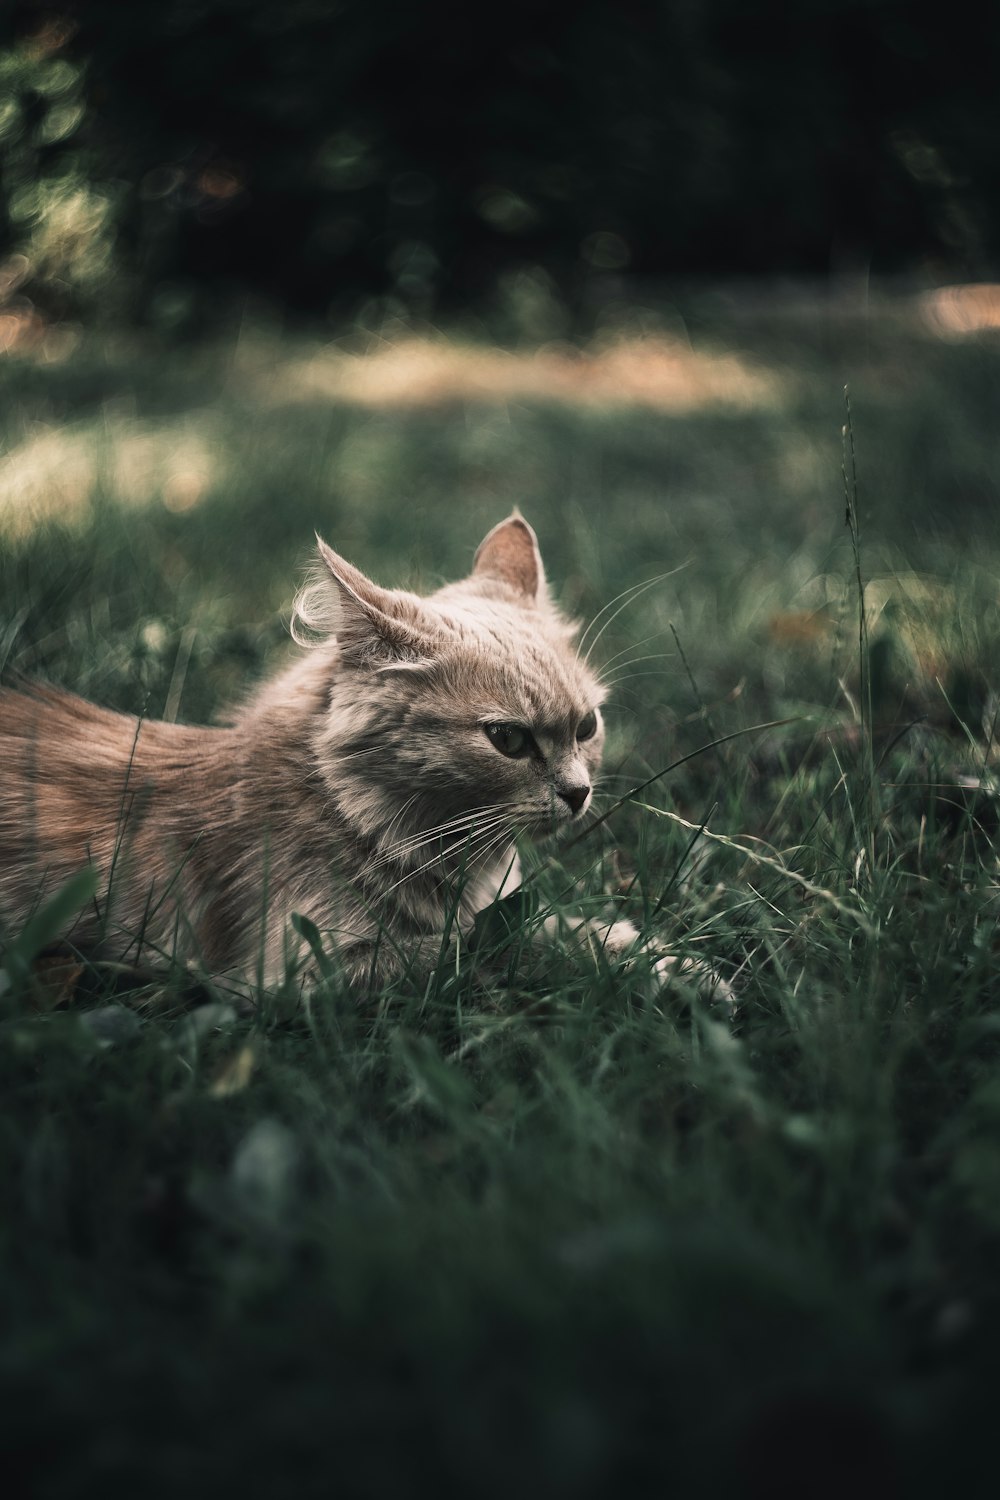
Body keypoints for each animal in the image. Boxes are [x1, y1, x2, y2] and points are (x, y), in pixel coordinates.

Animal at [0, 516, 728, 1008]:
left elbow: (554, 925)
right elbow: (487, 949)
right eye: (509, 740)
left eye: (587, 727)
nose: (577, 792)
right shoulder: (305, 970)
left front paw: (667, 963)